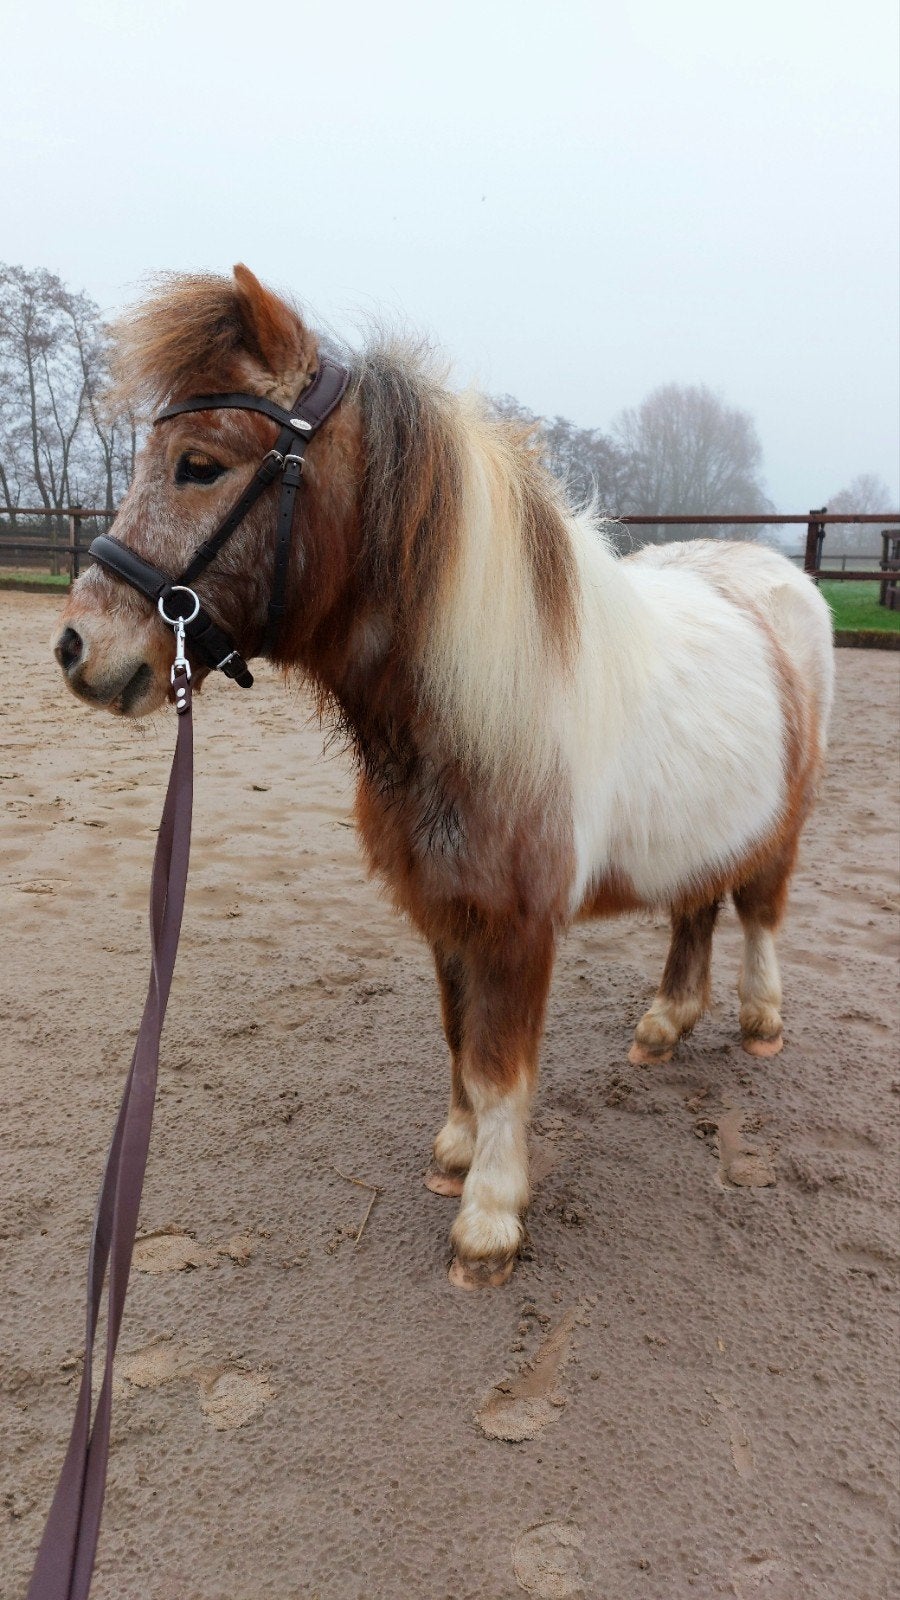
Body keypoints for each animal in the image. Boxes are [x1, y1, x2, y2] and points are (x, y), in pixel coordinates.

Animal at [54, 264, 834, 1289]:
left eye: (199, 464)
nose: (78, 648)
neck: (482, 707)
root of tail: (772, 574)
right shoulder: (445, 908)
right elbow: (460, 1039)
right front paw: (456, 1156)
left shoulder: (517, 926)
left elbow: (502, 1063)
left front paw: (489, 1223)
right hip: (702, 827)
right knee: (697, 911)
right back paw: (666, 1025)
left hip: (781, 829)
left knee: (759, 915)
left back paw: (761, 1020)